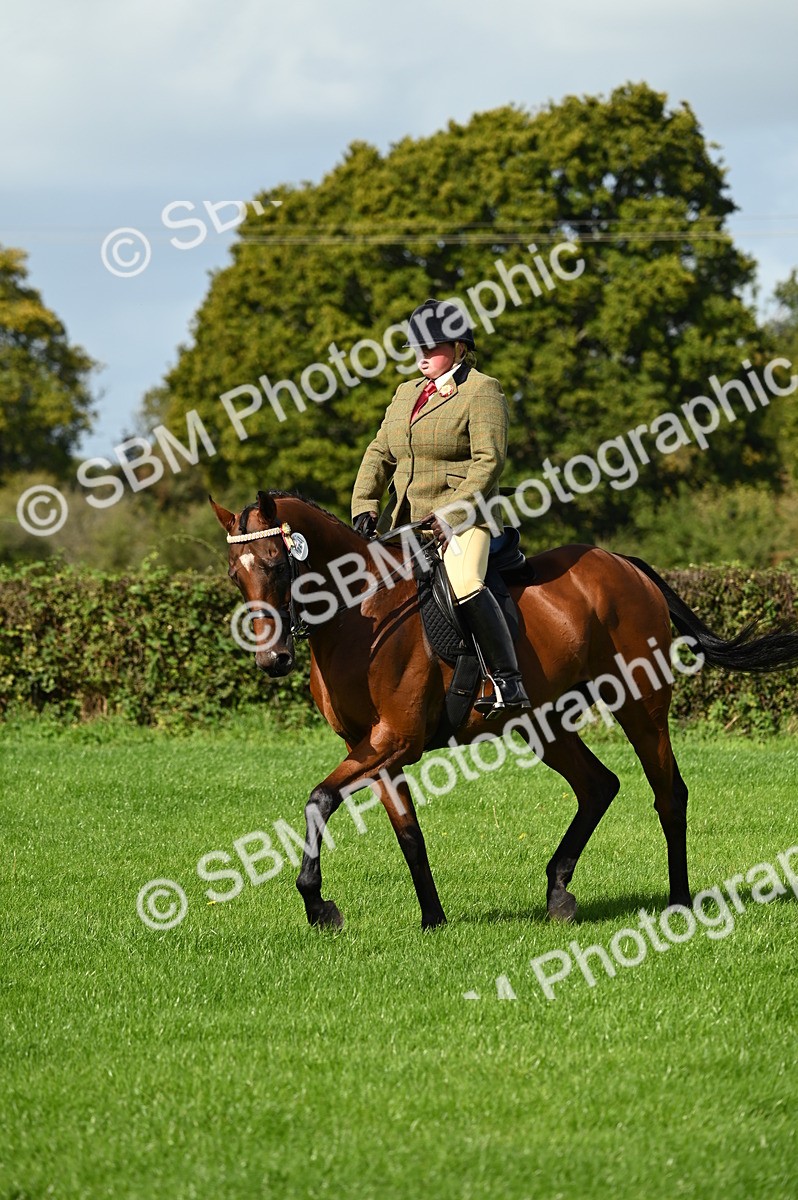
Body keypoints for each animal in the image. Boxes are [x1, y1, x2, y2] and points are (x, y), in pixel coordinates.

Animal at [211, 489, 798, 931]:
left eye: (277, 566)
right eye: (236, 576)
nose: (273, 660)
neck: (363, 615)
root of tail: (622, 564)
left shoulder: (395, 739)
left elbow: (319, 799)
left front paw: (318, 906)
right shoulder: (371, 747)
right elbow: (408, 834)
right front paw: (433, 920)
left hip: (640, 704)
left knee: (668, 794)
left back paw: (678, 902)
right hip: (542, 720)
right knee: (597, 785)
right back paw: (559, 893)